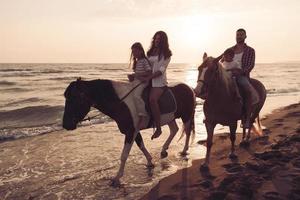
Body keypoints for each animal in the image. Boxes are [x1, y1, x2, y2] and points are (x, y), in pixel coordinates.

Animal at [62, 78, 196, 186]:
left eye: (73, 99)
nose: (65, 125)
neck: (121, 103)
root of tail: (189, 87)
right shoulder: (134, 131)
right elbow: (141, 145)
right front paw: (150, 161)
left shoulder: (130, 131)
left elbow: (124, 155)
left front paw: (117, 178)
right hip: (171, 118)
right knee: (174, 130)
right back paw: (164, 150)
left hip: (186, 115)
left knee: (187, 131)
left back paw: (184, 150)